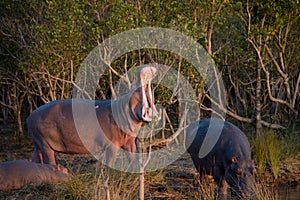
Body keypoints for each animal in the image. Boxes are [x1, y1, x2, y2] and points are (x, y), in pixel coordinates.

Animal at [25, 65, 158, 166]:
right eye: (133, 87)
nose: (145, 67)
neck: (123, 109)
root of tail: (30, 116)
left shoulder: (129, 141)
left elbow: (132, 157)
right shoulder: (112, 145)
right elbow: (110, 162)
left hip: (38, 143)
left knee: (35, 158)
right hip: (45, 144)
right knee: (49, 160)